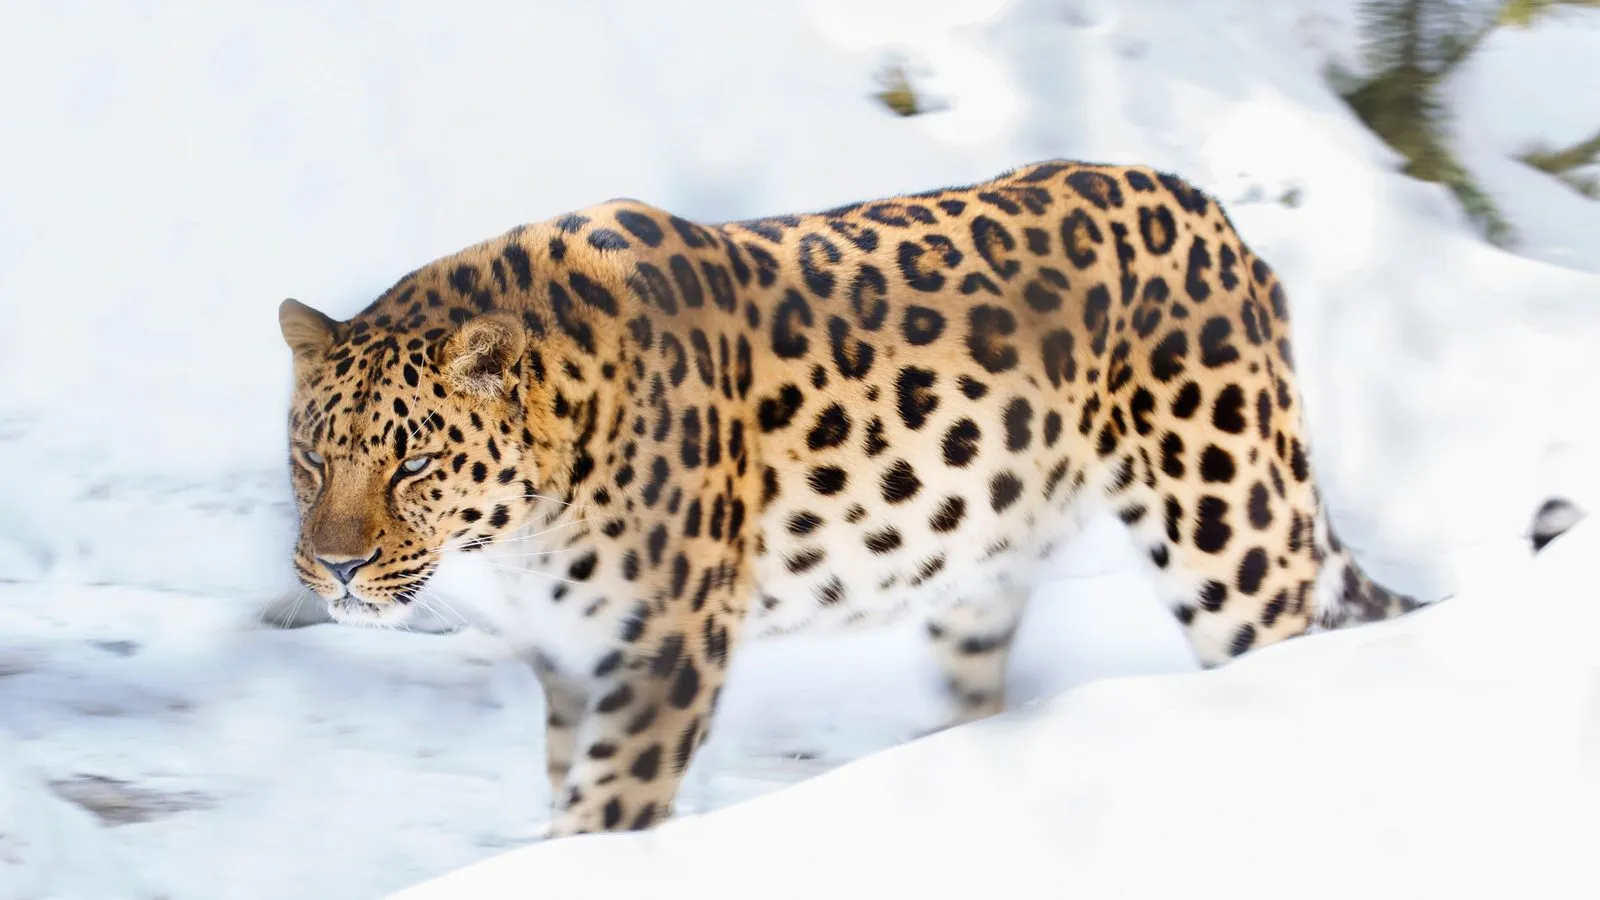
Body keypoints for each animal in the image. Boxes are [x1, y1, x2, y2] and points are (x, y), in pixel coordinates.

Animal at [277, 159, 1422, 838]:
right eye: (311, 459)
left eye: (413, 464)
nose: (333, 568)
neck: (523, 534)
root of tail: (1211, 209)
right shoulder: (569, 660)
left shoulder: (665, 651)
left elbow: (603, 810)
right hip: (980, 570)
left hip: (1231, 533)